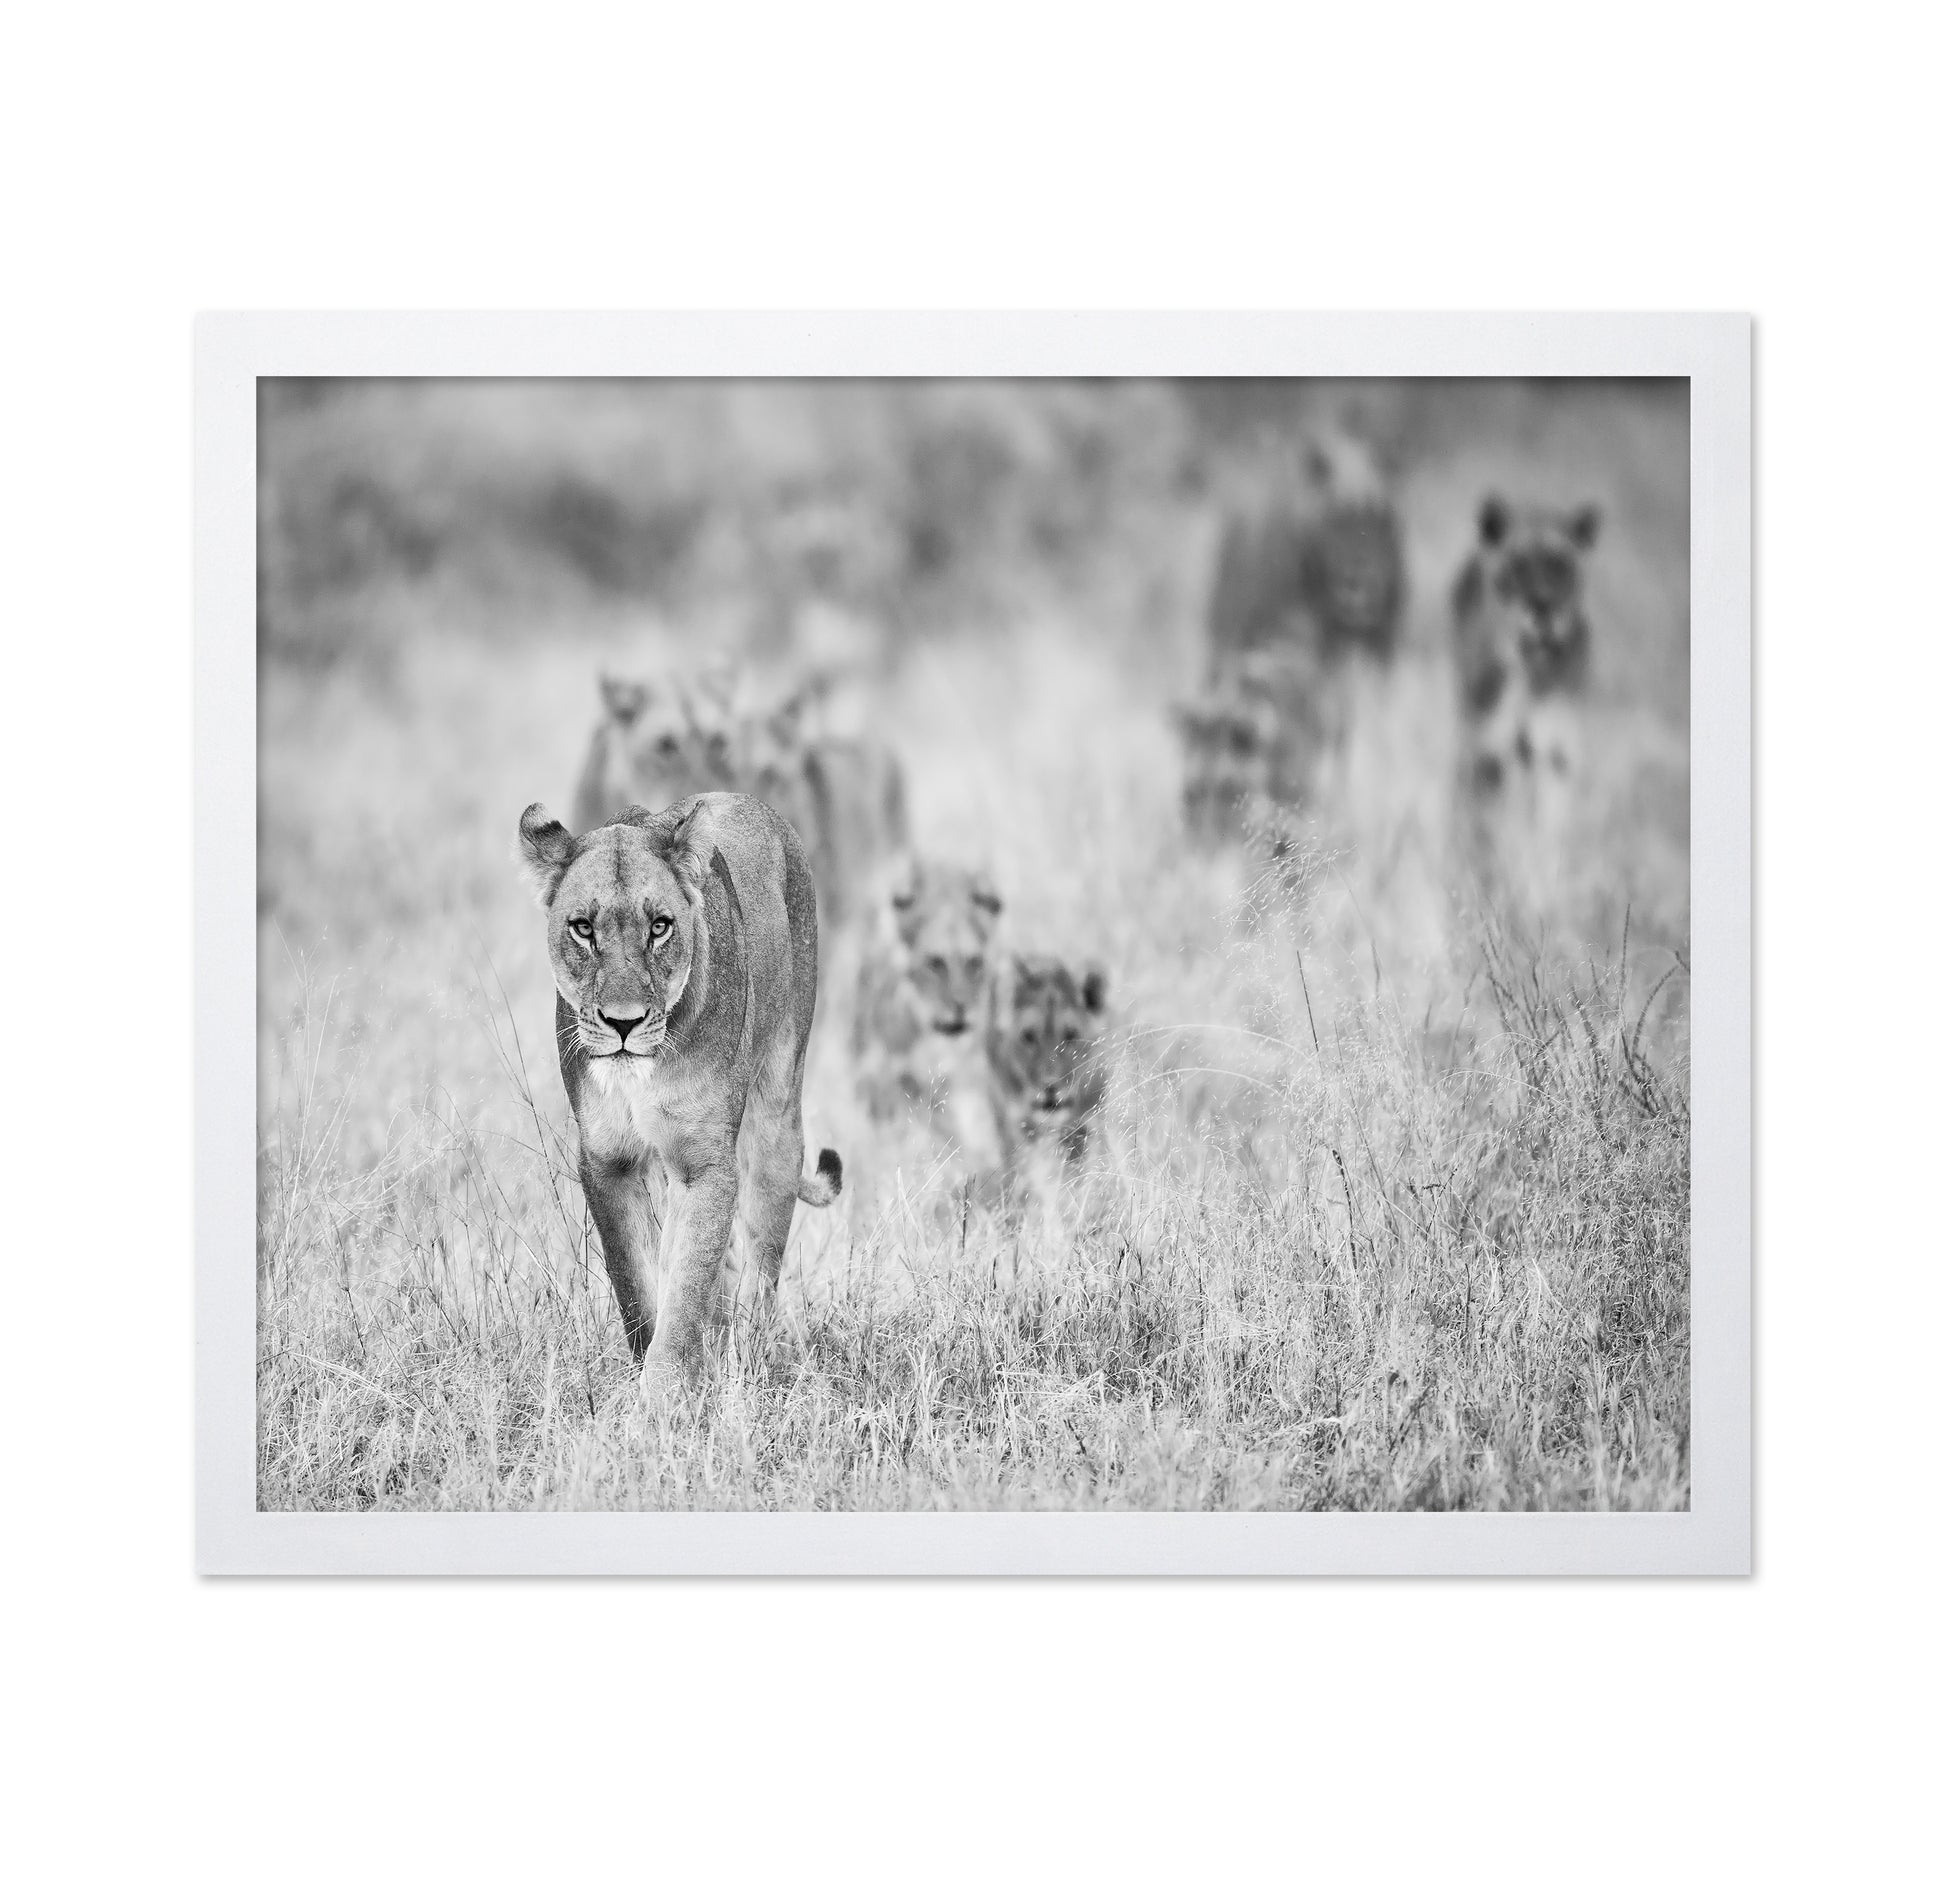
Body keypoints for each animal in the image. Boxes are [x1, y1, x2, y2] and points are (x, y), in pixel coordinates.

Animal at [517, 792, 840, 1393]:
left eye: (660, 927)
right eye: (582, 928)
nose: (623, 1023)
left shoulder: (703, 1162)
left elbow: (686, 1287)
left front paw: (664, 1398)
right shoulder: (606, 1159)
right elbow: (638, 1287)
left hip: (777, 1114)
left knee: (759, 1267)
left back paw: (746, 1363)